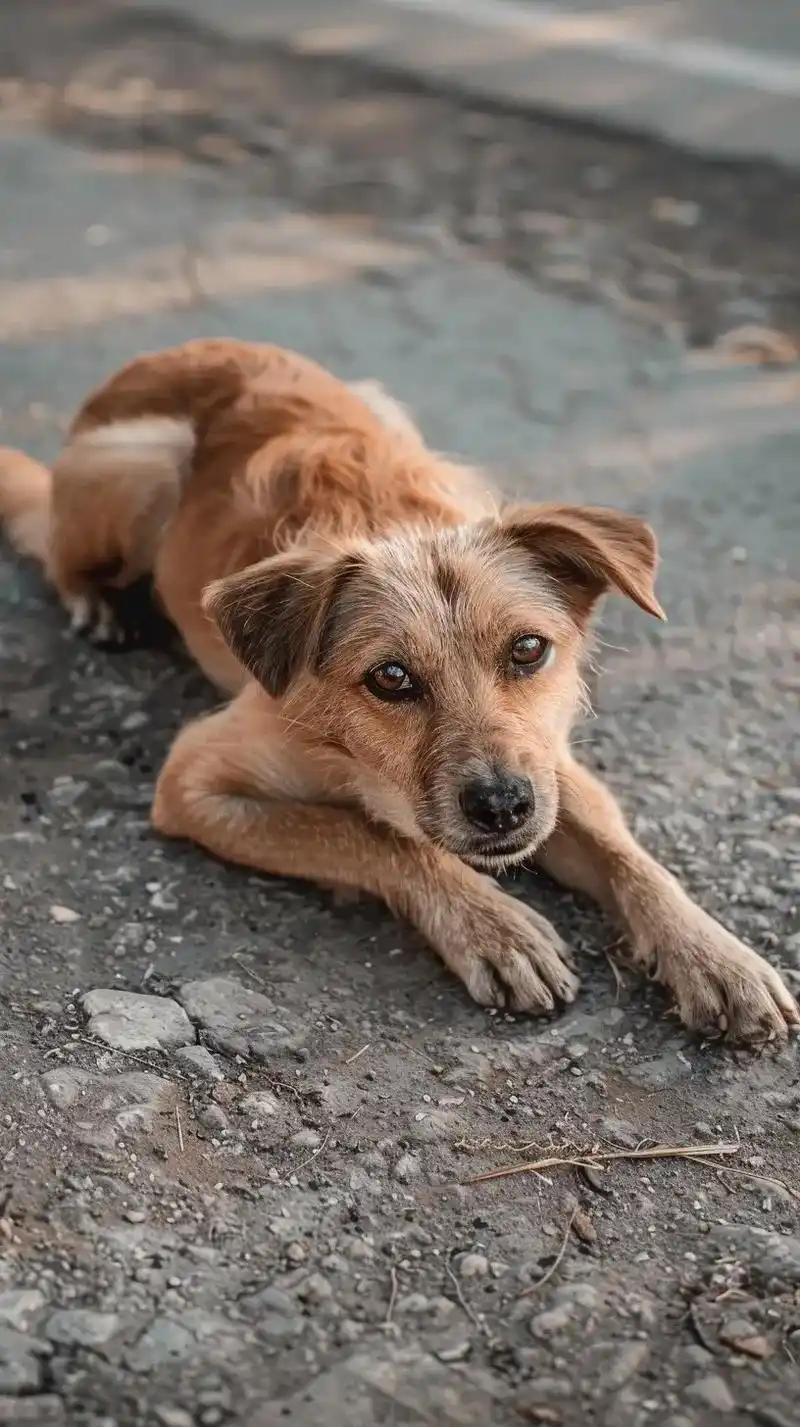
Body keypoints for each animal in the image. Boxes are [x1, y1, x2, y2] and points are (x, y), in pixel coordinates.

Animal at [3, 338, 792, 1044]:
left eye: (529, 649)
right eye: (391, 678)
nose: (503, 807)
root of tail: (172, 352)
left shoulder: (553, 767)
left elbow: (627, 855)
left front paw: (714, 954)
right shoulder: (194, 781)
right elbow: (367, 832)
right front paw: (491, 922)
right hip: (140, 456)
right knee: (58, 551)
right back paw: (98, 602)